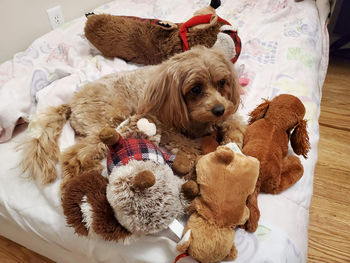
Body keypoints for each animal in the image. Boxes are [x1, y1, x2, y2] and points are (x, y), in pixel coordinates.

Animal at [19, 46, 243, 193]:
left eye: (222, 82)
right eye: (195, 89)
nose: (219, 109)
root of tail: (71, 103)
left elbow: (235, 125)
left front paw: (233, 144)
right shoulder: (167, 129)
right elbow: (190, 148)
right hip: (108, 125)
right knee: (73, 155)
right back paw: (74, 182)